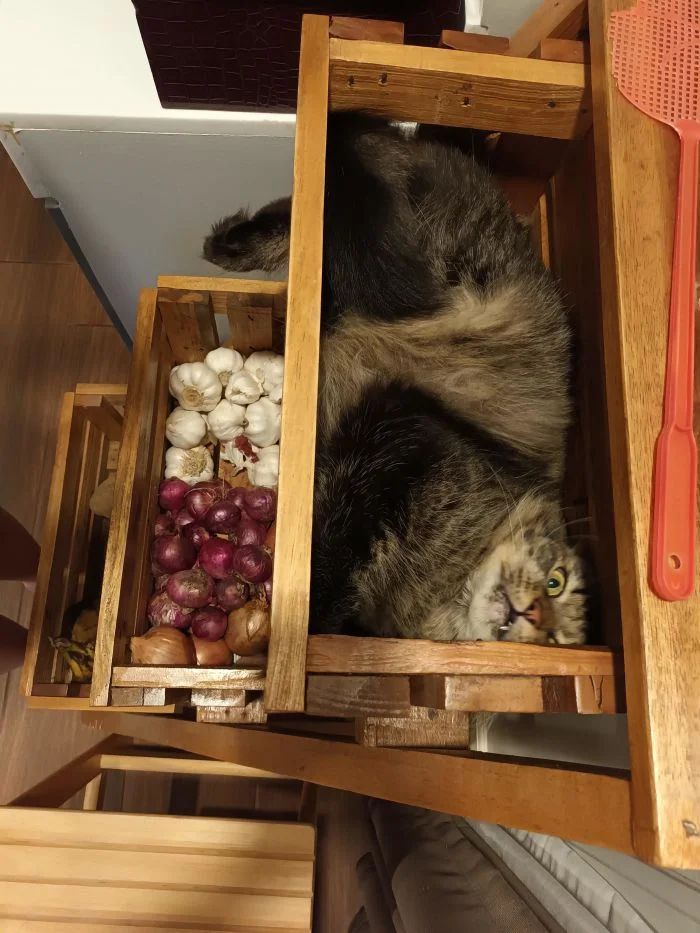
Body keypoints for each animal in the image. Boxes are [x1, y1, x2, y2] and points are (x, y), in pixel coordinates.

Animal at [203, 114, 587, 645]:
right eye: (556, 582)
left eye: (557, 640)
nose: (532, 616)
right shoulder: (398, 436)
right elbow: (333, 539)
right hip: (431, 267)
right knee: (345, 185)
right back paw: (232, 241)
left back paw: (233, 240)